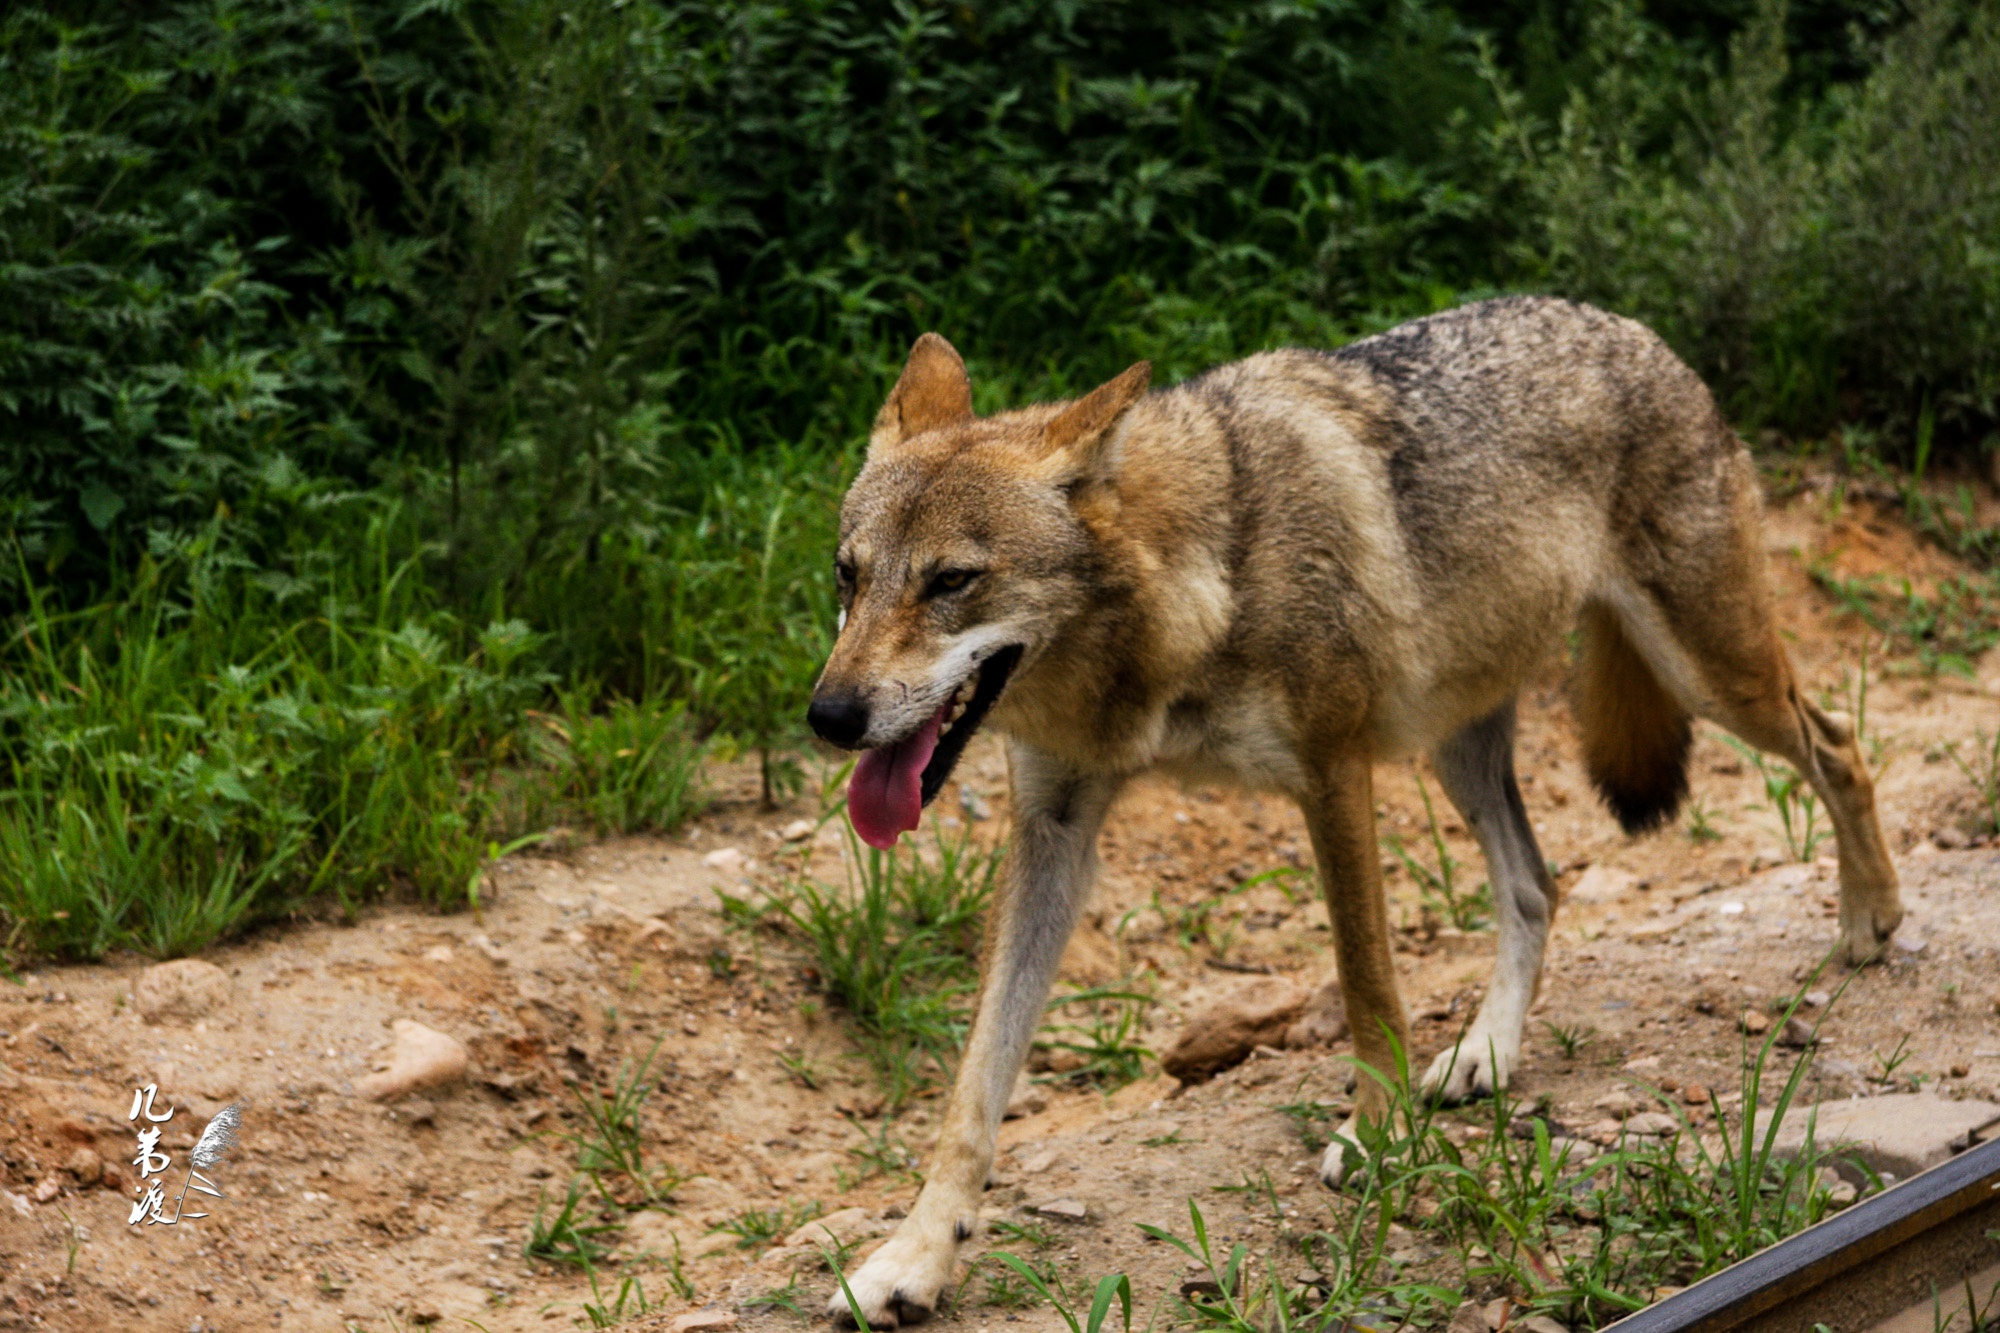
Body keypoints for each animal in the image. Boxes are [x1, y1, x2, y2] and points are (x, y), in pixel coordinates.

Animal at [804, 296, 1896, 1320]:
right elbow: (973, 1086)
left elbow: (1367, 984)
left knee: (1839, 747)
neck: (1190, 586)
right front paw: (914, 1256)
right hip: (1461, 743)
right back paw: (1484, 1054)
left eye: (953, 580)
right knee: (1535, 886)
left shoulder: (1331, 775)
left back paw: (1869, 921)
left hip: (1715, 680)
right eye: (847, 573)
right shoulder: (1054, 832)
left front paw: (1375, 1141)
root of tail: (1628, 327)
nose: (828, 714)